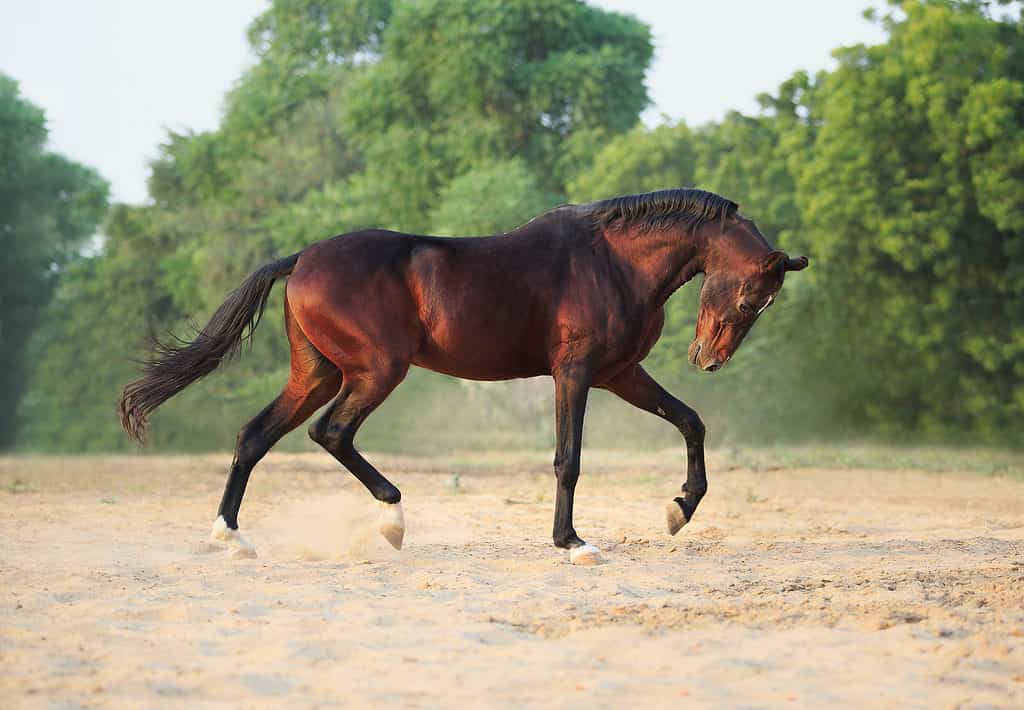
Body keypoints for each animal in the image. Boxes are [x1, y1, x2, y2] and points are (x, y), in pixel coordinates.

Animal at [119, 188, 806, 565]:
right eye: (752, 297)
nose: (707, 358)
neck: (613, 261)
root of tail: (302, 258)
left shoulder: (620, 373)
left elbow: (691, 421)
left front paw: (679, 510)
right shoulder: (576, 373)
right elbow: (569, 459)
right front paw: (573, 543)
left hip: (316, 373)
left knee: (255, 436)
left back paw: (230, 538)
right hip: (376, 371)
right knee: (330, 433)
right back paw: (392, 521)